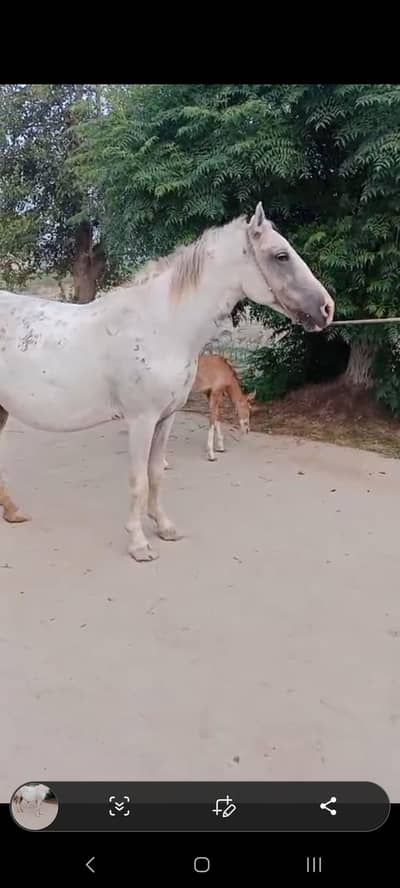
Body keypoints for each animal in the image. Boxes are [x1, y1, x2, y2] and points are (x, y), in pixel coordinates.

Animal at [0, 203, 334, 561]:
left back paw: (13, 512)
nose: (327, 308)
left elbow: (156, 473)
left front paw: (164, 527)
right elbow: (138, 480)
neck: (161, 327)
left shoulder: (166, 417)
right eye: (281, 255)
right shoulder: (141, 420)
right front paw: (138, 543)